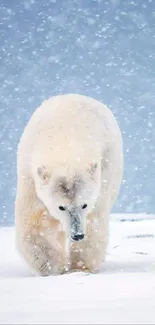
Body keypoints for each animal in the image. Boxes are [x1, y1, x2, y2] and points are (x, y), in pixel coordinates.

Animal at [14, 92, 123, 274]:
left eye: (84, 204)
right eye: (61, 207)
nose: (77, 234)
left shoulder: (103, 169)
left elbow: (94, 220)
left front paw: (79, 267)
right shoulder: (29, 173)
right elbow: (37, 220)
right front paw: (51, 267)